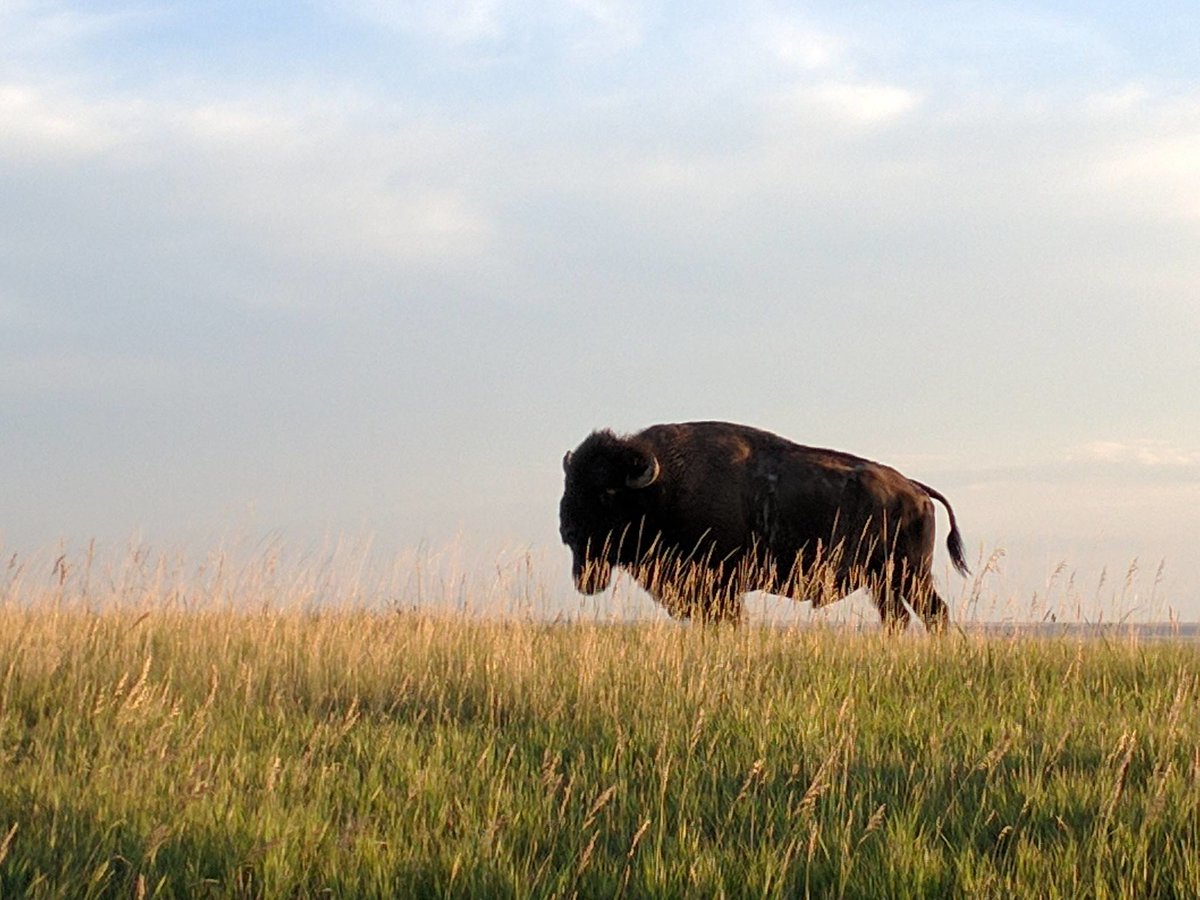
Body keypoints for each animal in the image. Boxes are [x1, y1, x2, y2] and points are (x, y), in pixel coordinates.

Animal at [559, 421, 968, 631]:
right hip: (882, 581)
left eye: (607, 491)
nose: (567, 529)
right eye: (570, 482)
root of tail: (915, 489)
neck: (662, 488)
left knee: (933, 613)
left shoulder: (720, 586)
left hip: (908, 575)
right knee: (898, 617)